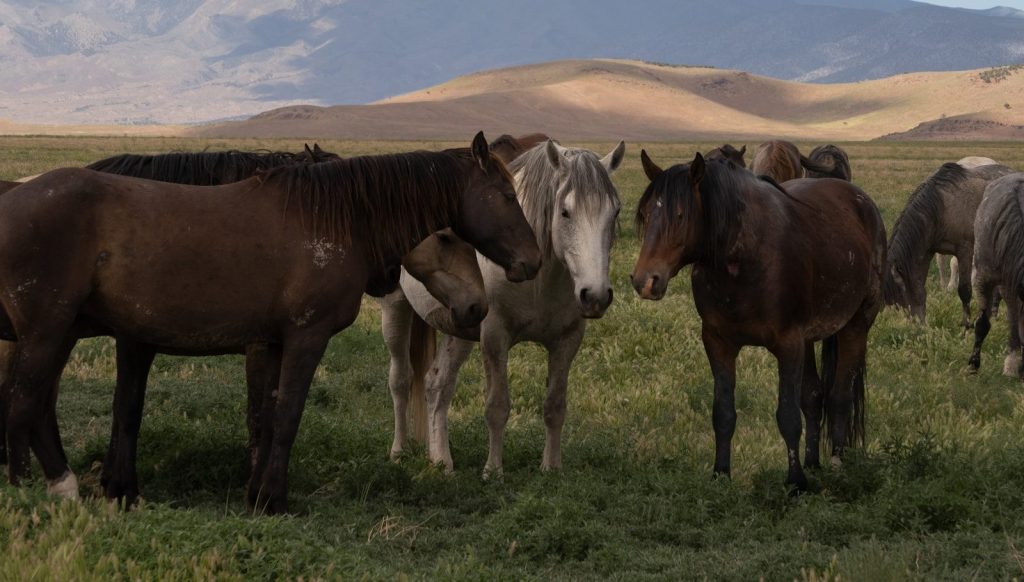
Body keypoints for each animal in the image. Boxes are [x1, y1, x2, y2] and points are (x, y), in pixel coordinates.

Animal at [0, 132, 542, 513]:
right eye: (504, 195)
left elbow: (265, 416)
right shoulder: (304, 337)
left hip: (57, 333)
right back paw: (26, 492)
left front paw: (254, 490)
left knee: (36, 405)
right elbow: (286, 415)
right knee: (24, 403)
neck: (334, 220)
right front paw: (272, 499)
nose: (531, 263)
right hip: (46, 331)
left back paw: (61, 487)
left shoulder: (268, 342)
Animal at [380, 139, 625, 474]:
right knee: (401, 380)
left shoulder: (567, 341)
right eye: (565, 212)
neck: (538, 281)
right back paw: (398, 451)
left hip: (459, 326)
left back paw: (440, 460)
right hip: (396, 310)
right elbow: (497, 407)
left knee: (437, 385)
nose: (596, 295)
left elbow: (555, 406)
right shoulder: (495, 337)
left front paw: (551, 468)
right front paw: (493, 470)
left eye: (615, 212)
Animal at [631, 151, 886, 491]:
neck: (744, 257)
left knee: (840, 397)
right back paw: (813, 463)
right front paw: (721, 475)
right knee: (814, 396)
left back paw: (836, 465)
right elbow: (723, 413)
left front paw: (796, 483)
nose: (645, 280)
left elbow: (788, 416)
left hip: (856, 325)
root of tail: (860, 199)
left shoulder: (789, 344)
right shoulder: (718, 343)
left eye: (681, 216)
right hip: (810, 339)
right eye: (646, 214)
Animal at [883, 161, 1015, 325]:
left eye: (899, 297)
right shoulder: (927, 252)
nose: (916, 325)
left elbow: (964, 290)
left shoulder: (965, 251)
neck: (941, 207)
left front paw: (966, 324)